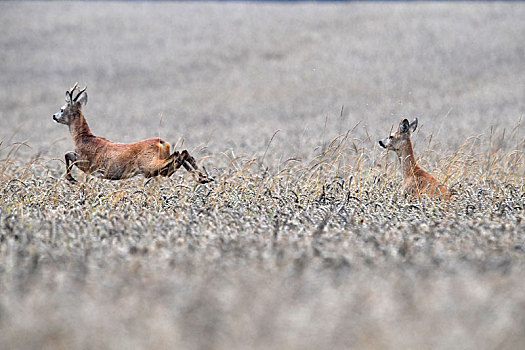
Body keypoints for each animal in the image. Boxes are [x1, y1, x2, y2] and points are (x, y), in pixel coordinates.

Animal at [51, 83, 211, 185]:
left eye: (62, 109)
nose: (54, 116)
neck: (83, 137)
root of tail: (162, 143)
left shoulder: (87, 163)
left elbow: (67, 154)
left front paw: (71, 179)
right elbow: (67, 154)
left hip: (148, 165)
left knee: (179, 155)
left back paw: (202, 177)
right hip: (158, 168)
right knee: (182, 155)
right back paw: (204, 178)